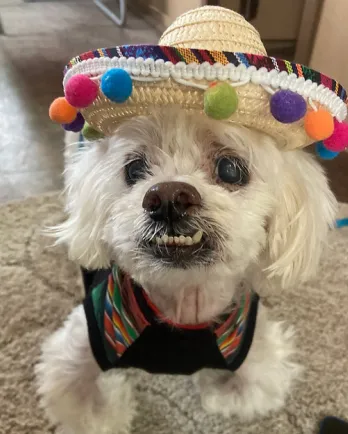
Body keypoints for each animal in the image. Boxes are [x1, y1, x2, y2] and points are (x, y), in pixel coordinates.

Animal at [36, 107, 338, 430]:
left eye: (230, 169)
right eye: (134, 170)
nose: (168, 197)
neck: (184, 301)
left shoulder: (261, 362)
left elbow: (236, 394)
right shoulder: (76, 355)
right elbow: (91, 411)